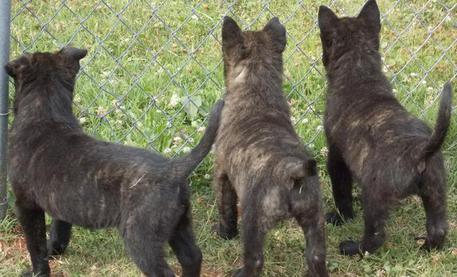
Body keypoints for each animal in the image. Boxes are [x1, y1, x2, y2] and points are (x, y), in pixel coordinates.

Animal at [5, 46, 223, 274]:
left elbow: (35, 245)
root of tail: (174, 169)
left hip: (141, 237)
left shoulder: (26, 204)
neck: (46, 112)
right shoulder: (59, 202)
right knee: (192, 256)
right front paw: (54, 251)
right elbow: (59, 231)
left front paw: (38, 271)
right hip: (179, 224)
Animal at [214, 16, 328, 274]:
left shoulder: (223, 174)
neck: (256, 85)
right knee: (316, 257)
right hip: (314, 219)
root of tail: (291, 171)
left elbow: (225, 208)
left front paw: (225, 234)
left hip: (254, 223)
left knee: (255, 260)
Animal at [318, 0, 452, 254]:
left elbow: (341, 191)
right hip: (436, 192)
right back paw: (427, 247)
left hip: (374, 197)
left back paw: (352, 248)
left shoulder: (336, 156)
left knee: (375, 236)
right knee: (439, 228)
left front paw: (341, 218)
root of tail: (418, 151)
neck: (359, 68)